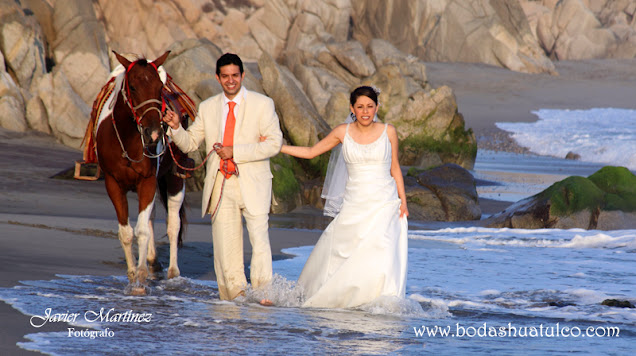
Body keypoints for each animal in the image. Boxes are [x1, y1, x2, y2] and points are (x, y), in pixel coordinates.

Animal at [95, 50, 186, 294]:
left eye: (159, 87)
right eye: (133, 87)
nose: (154, 133)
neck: (126, 141)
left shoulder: (147, 181)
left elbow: (142, 230)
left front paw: (140, 280)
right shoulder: (113, 184)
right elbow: (126, 232)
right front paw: (132, 274)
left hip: (175, 177)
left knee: (173, 224)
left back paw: (173, 272)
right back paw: (153, 261)